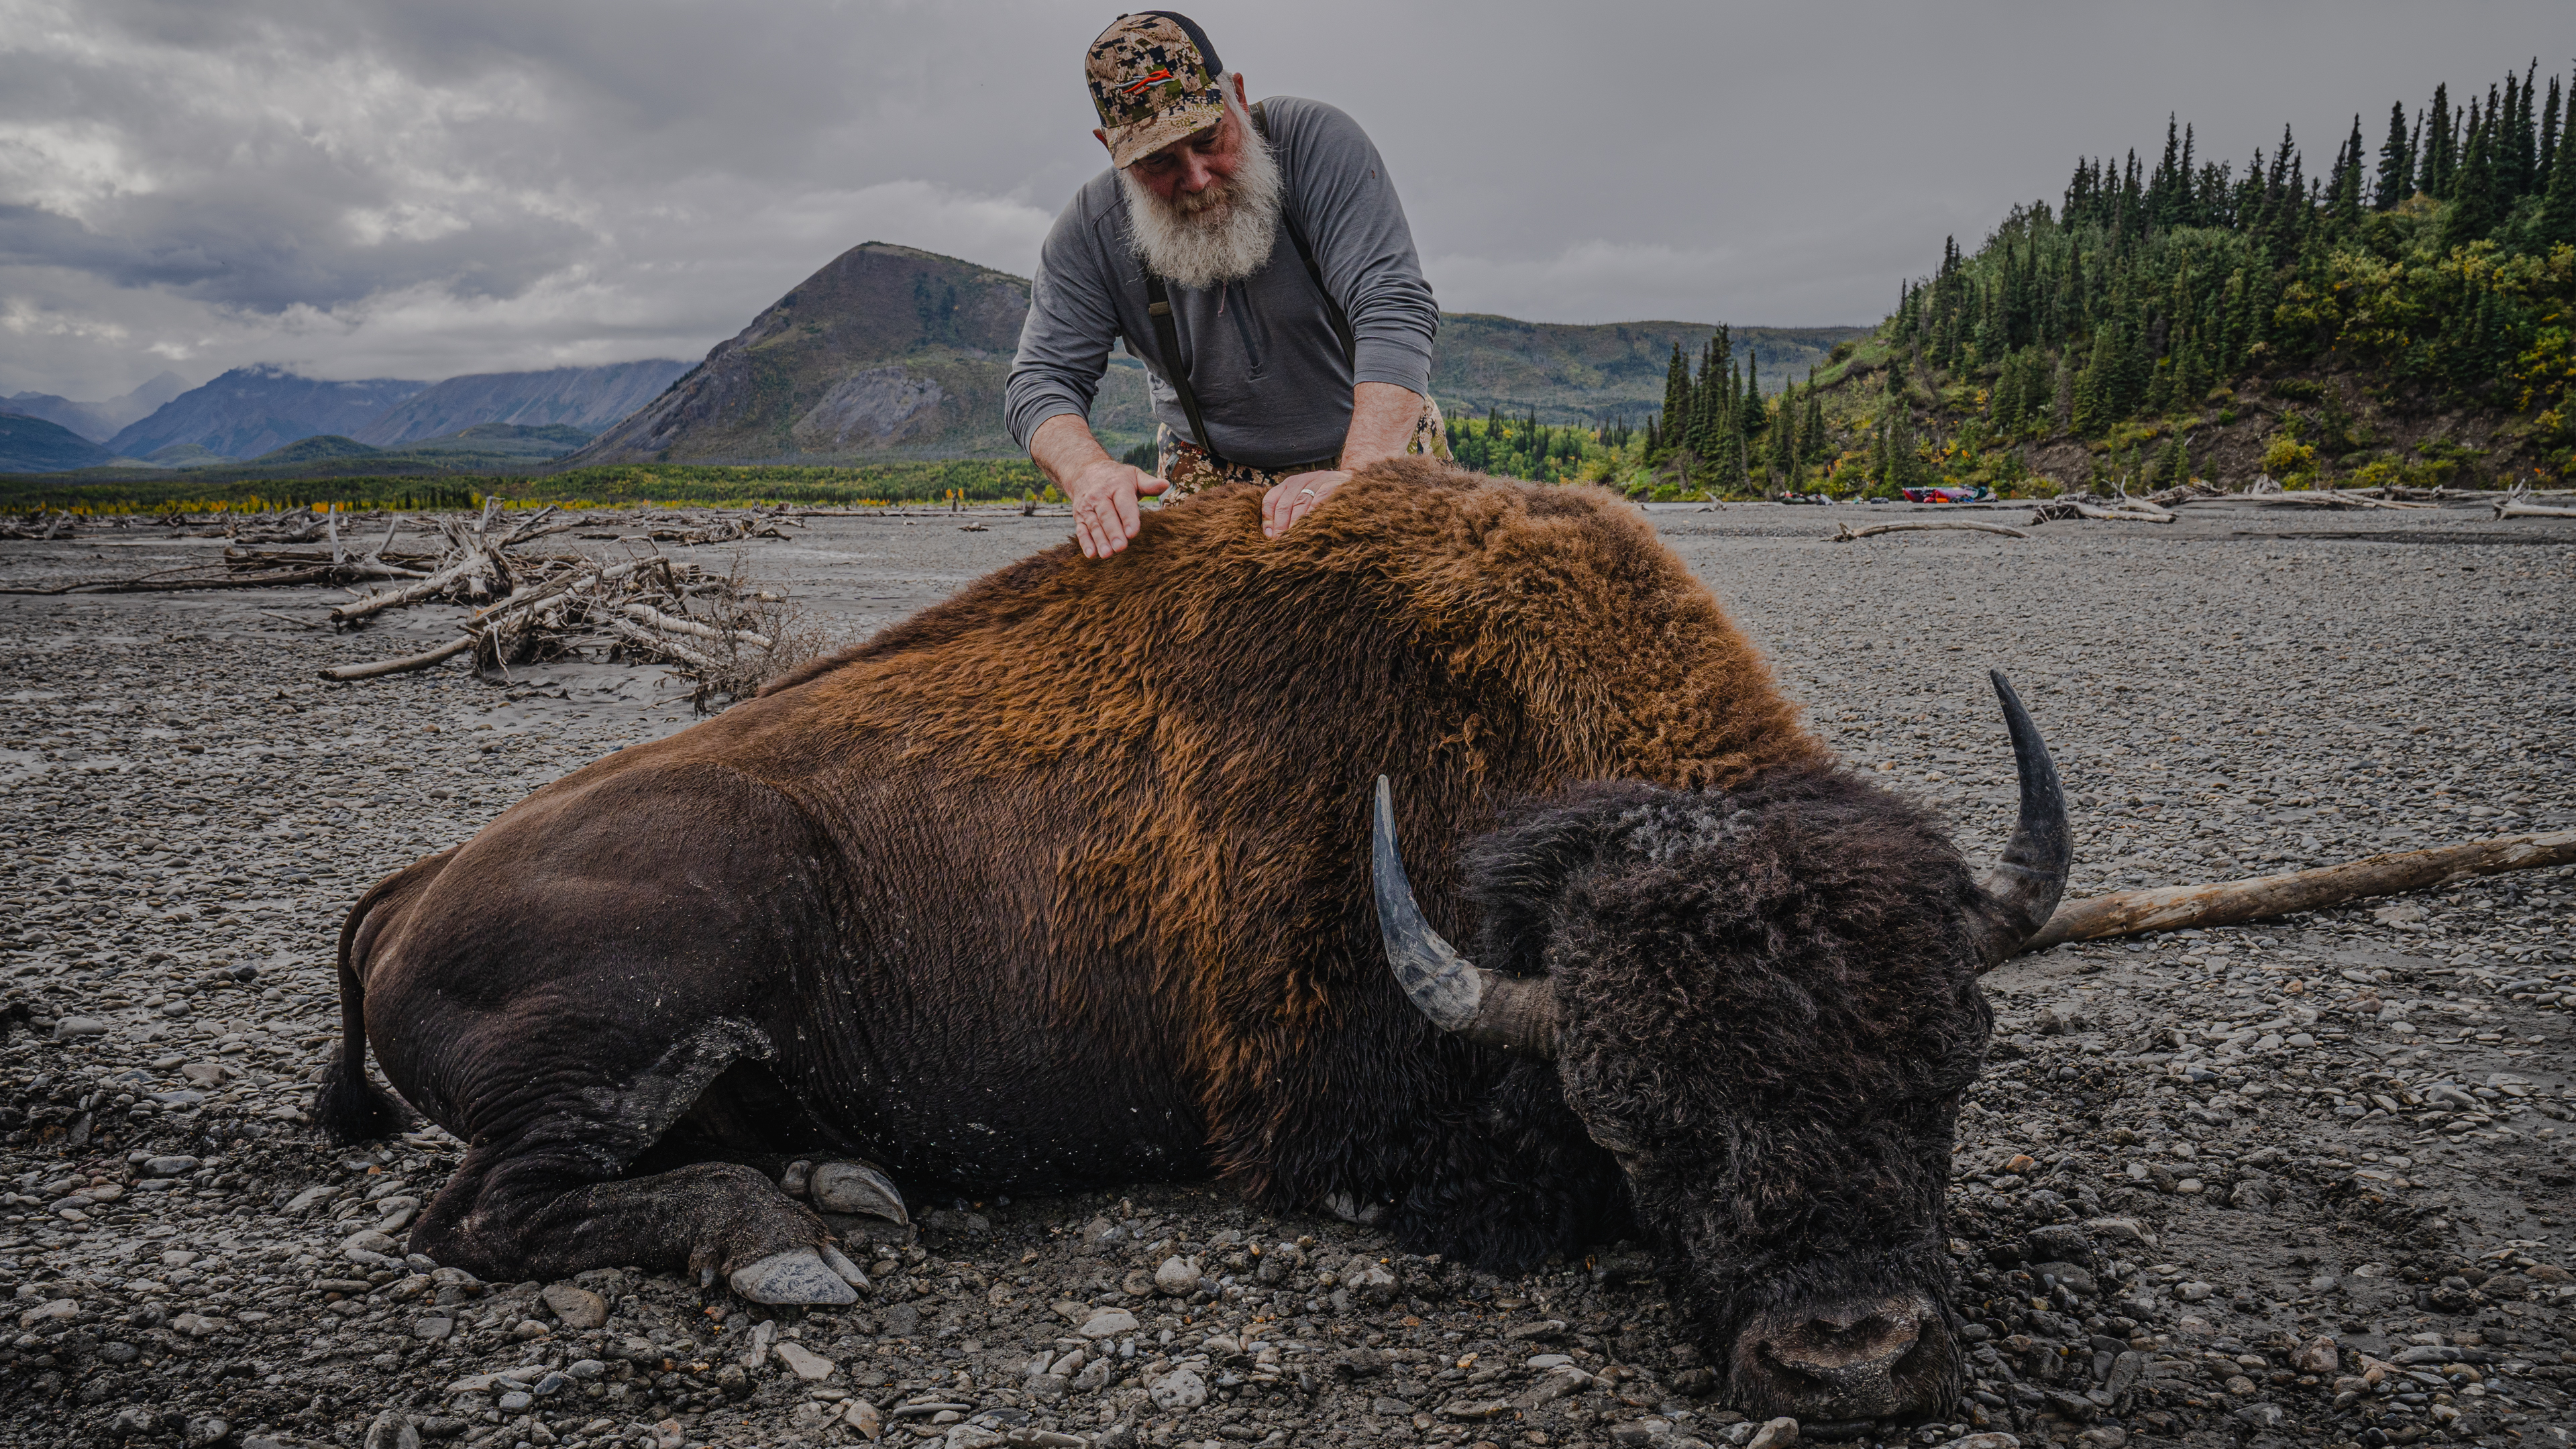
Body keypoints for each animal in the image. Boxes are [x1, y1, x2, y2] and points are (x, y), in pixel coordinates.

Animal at [319, 460, 2067, 1423]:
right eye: (1638, 1123)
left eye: (1946, 1075)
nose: (1849, 1360)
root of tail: (411, 881)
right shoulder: (1343, 1130)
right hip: (670, 959)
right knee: (481, 1210)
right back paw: (784, 1241)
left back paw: (844, 1183)